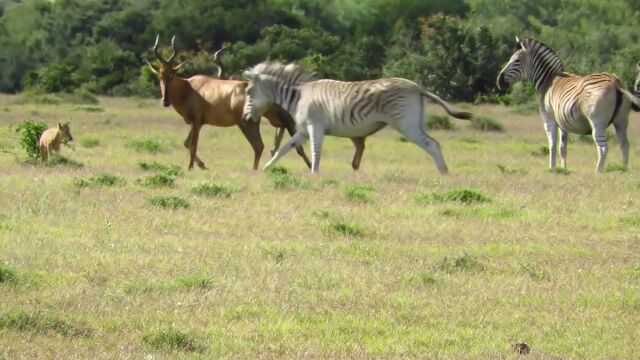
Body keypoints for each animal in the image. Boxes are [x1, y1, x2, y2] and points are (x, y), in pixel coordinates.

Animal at [145, 36, 310, 170]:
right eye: (160, 75)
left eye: (172, 75)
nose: (165, 101)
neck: (190, 87)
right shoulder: (196, 122)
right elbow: (186, 143)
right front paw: (202, 165)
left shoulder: (197, 121)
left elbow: (193, 144)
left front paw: (190, 167)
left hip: (248, 123)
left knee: (259, 145)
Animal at [240, 61, 470, 173]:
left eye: (249, 92)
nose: (245, 118)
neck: (299, 96)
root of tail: (418, 87)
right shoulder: (304, 130)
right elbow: (284, 149)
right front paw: (266, 169)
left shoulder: (316, 126)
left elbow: (316, 153)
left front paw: (315, 176)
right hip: (414, 123)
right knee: (433, 144)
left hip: (407, 125)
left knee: (432, 145)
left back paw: (444, 174)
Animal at [498, 37, 636, 172]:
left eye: (517, 60)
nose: (499, 81)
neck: (547, 81)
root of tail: (615, 81)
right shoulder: (563, 122)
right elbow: (562, 148)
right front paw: (563, 168)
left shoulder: (549, 120)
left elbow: (552, 145)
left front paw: (551, 168)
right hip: (621, 121)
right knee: (625, 145)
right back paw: (624, 169)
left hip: (597, 122)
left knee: (603, 148)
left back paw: (598, 171)